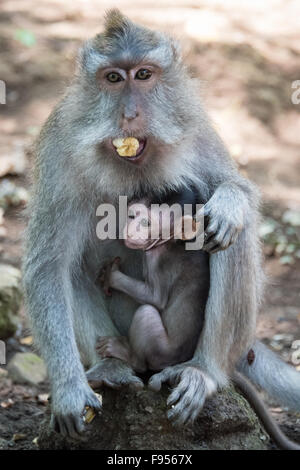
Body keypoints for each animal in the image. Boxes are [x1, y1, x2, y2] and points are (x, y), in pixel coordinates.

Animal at [96, 186, 209, 370]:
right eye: (131, 216)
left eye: (146, 223)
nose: (131, 230)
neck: (172, 240)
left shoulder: (156, 259)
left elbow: (155, 298)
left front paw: (111, 276)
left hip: (160, 351)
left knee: (146, 312)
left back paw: (129, 356)